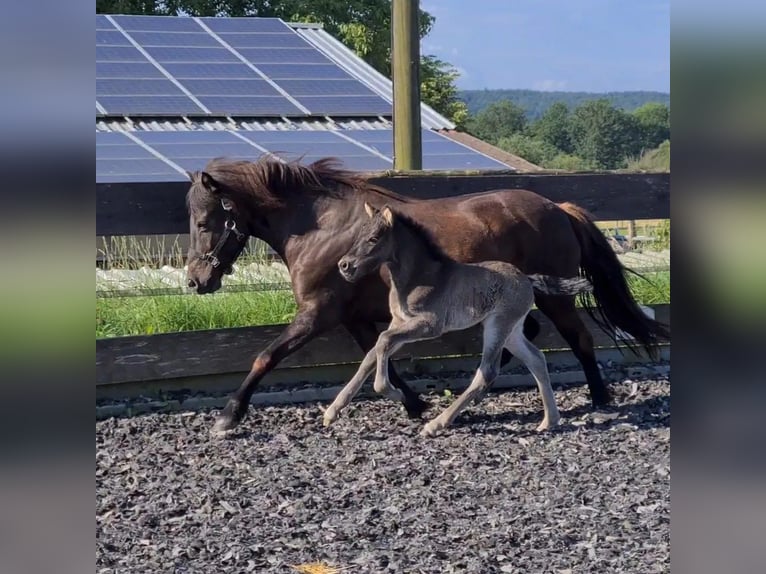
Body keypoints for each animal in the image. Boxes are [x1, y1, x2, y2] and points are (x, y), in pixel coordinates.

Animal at [324, 205, 592, 438]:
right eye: (359, 235)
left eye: (373, 238)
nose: (344, 266)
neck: (419, 278)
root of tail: (526, 278)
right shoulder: (400, 323)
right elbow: (374, 352)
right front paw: (332, 412)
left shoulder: (429, 325)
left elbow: (382, 341)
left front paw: (394, 393)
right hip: (512, 331)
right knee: (536, 359)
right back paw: (549, 421)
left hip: (498, 325)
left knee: (487, 372)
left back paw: (437, 423)